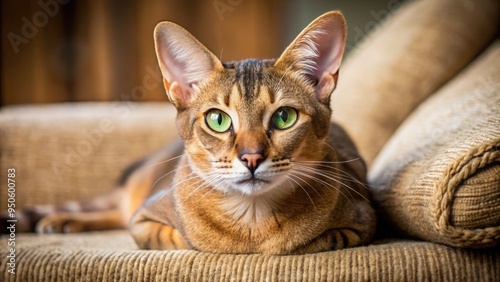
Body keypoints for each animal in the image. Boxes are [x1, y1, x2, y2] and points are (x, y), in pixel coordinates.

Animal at [10, 11, 376, 254]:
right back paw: (60, 219)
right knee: (117, 206)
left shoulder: (362, 221)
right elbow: (179, 240)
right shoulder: (144, 220)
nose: (251, 157)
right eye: (218, 120)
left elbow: (319, 241)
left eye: (284, 117)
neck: (252, 221)